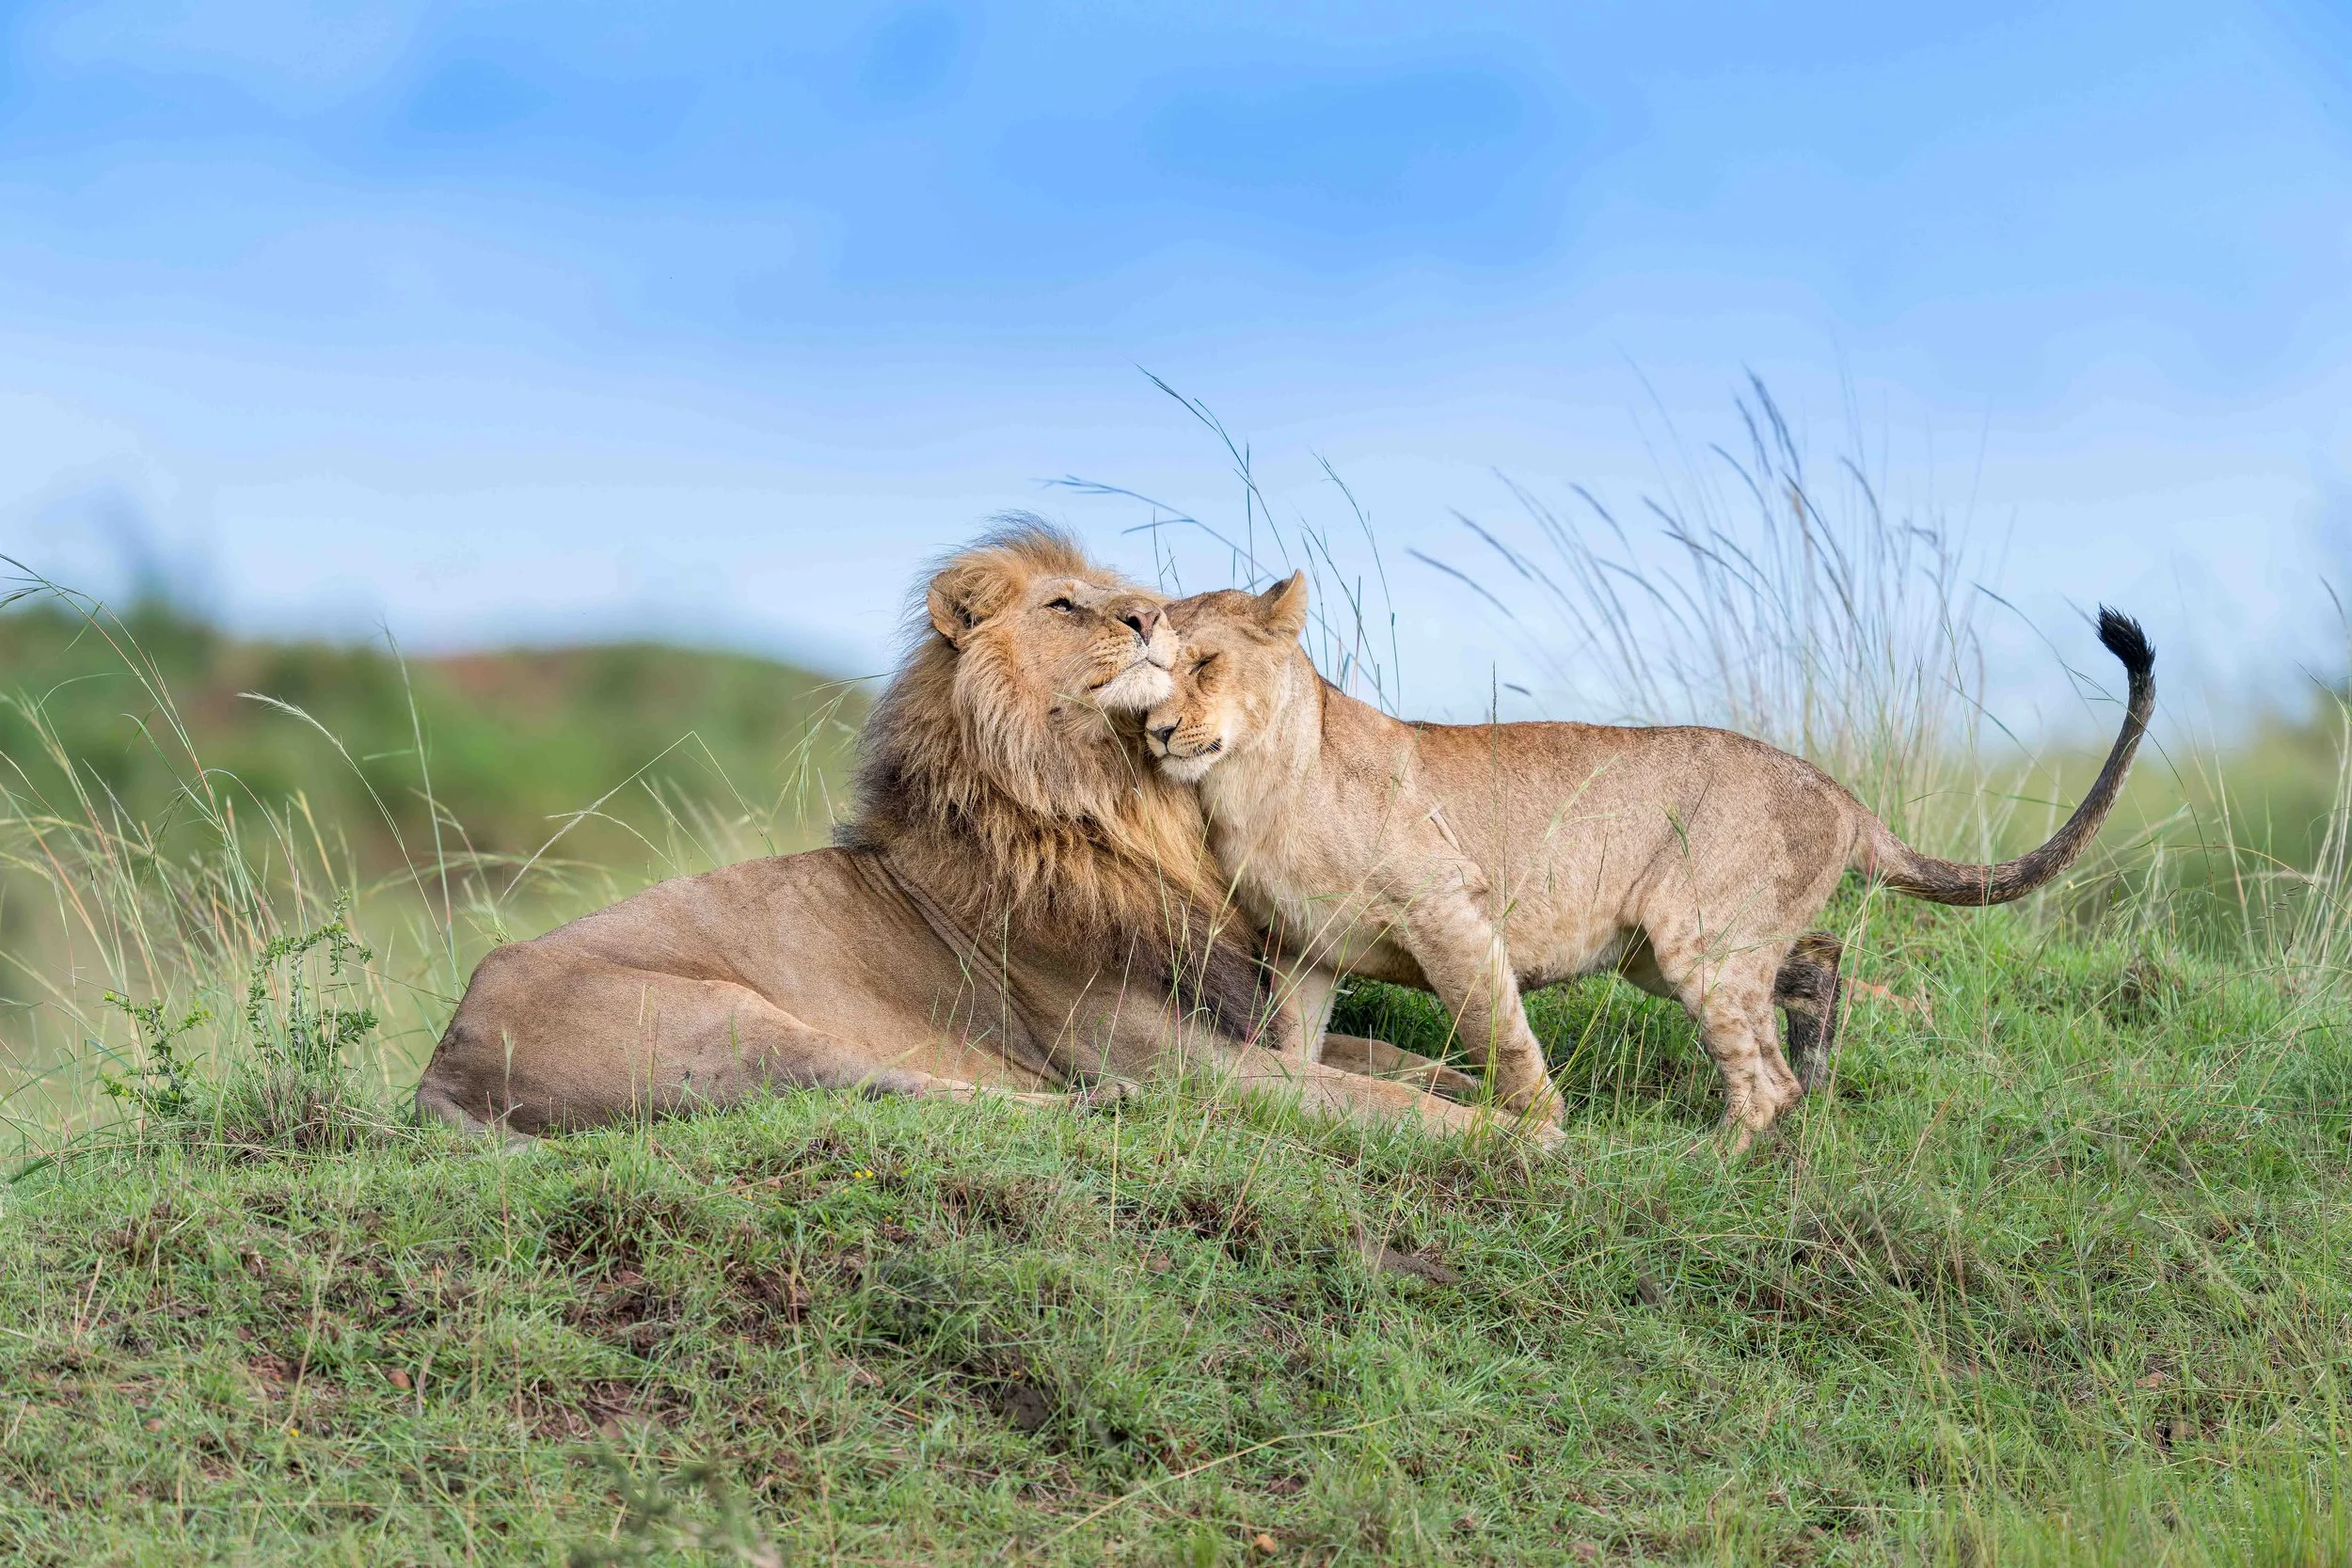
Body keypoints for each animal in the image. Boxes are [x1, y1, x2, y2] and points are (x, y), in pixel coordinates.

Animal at [414, 523, 1508, 1143]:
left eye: (1140, 598)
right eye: (1069, 605)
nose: (1152, 618)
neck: (1112, 806)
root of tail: (439, 1064)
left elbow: (1389, 1059)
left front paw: (1478, 1082)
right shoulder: (1173, 1053)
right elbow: (1374, 1100)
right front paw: (1506, 1134)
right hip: (731, 1019)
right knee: (877, 1090)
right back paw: (1101, 1108)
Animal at [1142, 573, 2154, 1144]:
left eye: (1202, 663)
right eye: (1141, 664)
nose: (1153, 729)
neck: (1253, 784)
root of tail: (1840, 793)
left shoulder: (1449, 904)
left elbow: (1499, 1033)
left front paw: (1540, 1129)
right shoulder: (1304, 950)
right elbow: (1294, 1044)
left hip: (1692, 936)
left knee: (1766, 1083)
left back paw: (1708, 1161)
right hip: (1674, 952)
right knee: (1817, 965)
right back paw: (1817, 1067)